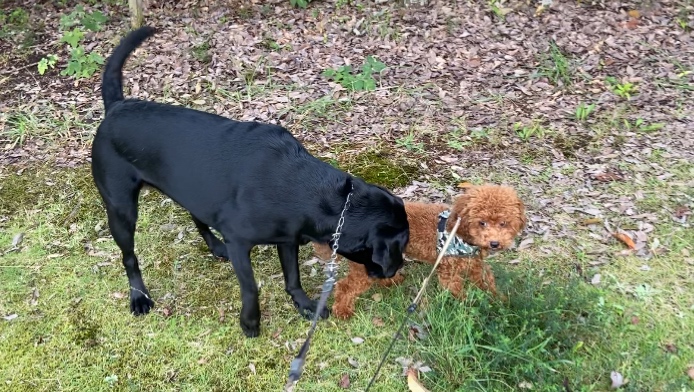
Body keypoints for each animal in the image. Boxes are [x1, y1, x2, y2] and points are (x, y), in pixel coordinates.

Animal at [90, 26, 410, 336]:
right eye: (402, 245)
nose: (397, 270)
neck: (311, 192)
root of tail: (116, 107)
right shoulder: (241, 243)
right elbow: (252, 288)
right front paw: (250, 322)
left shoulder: (287, 240)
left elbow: (293, 277)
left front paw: (305, 305)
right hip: (121, 210)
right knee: (129, 257)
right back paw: (139, 296)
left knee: (197, 215)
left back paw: (215, 246)